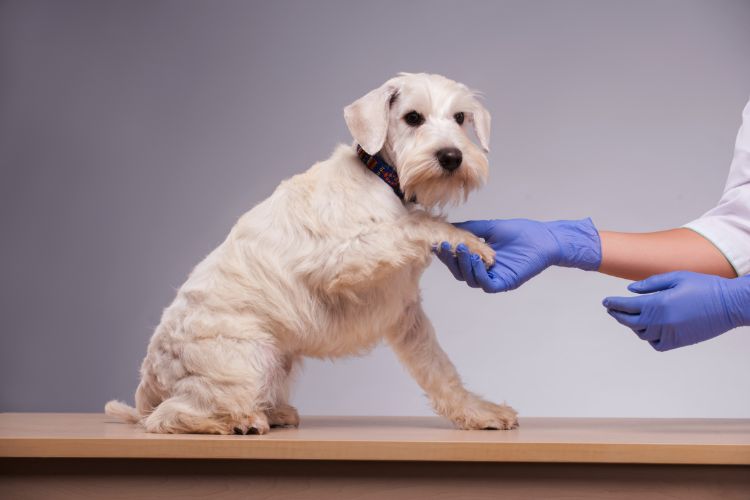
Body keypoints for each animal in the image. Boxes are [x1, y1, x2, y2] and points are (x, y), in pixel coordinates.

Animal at [104, 71, 516, 434]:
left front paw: (480, 412)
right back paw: (238, 421)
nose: (451, 157)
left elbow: (439, 368)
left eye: (460, 117)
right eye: (412, 117)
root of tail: (150, 379)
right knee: (169, 416)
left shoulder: (406, 313)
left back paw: (271, 412)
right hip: (248, 359)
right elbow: (416, 225)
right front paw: (470, 241)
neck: (382, 178)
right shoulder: (343, 260)